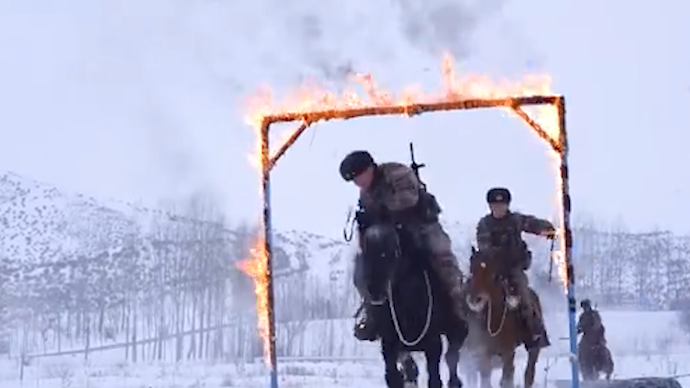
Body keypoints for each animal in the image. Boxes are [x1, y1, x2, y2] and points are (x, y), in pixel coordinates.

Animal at [360, 223, 468, 388]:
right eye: (366, 250)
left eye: (394, 251)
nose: (375, 290)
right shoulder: (389, 345)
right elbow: (393, 377)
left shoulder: (433, 345)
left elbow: (435, 379)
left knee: (452, 357)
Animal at [462, 249, 544, 388]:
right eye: (472, 270)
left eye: (492, 275)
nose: (474, 299)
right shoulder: (484, 355)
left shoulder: (508, 353)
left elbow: (507, 379)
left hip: (533, 348)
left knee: (528, 373)